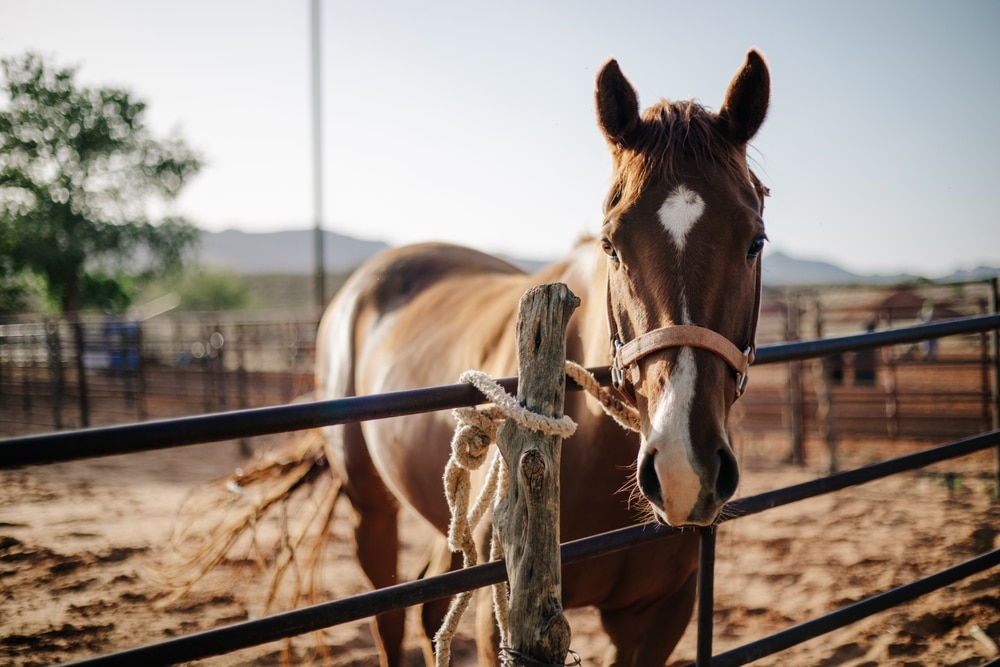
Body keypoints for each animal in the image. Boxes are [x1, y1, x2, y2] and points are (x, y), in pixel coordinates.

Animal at [316, 49, 770, 666]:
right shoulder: (499, 618)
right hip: (370, 508)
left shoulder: (659, 617)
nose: (684, 468)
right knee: (388, 616)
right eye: (610, 245)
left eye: (755, 242)